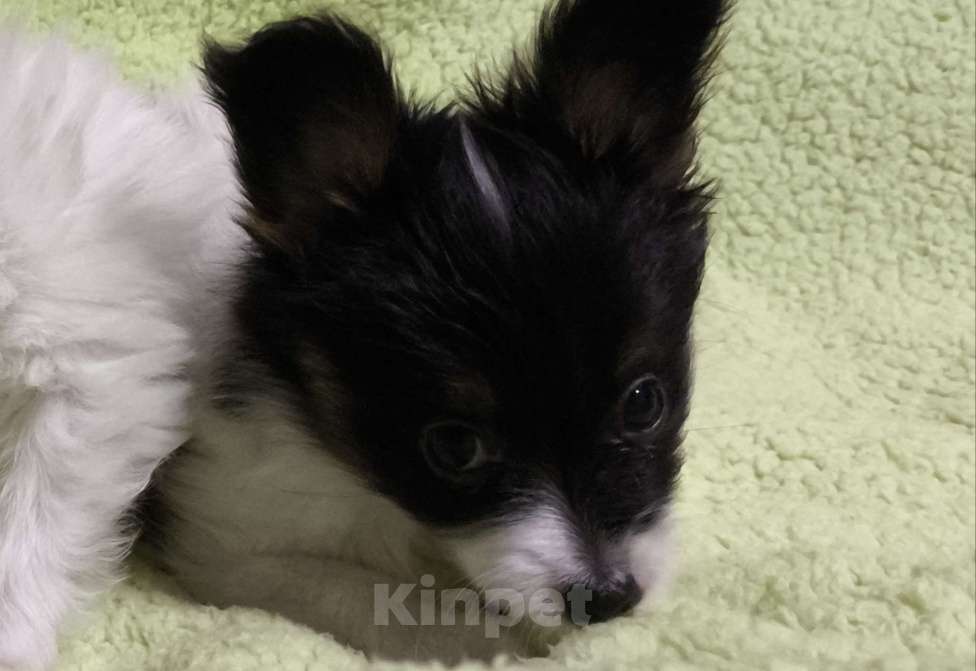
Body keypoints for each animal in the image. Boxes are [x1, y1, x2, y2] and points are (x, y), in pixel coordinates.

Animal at [0, 1, 726, 667]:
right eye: (454, 447)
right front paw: (495, 639)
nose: (608, 598)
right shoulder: (227, 540)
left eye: (644, 402)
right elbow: (387, 602)